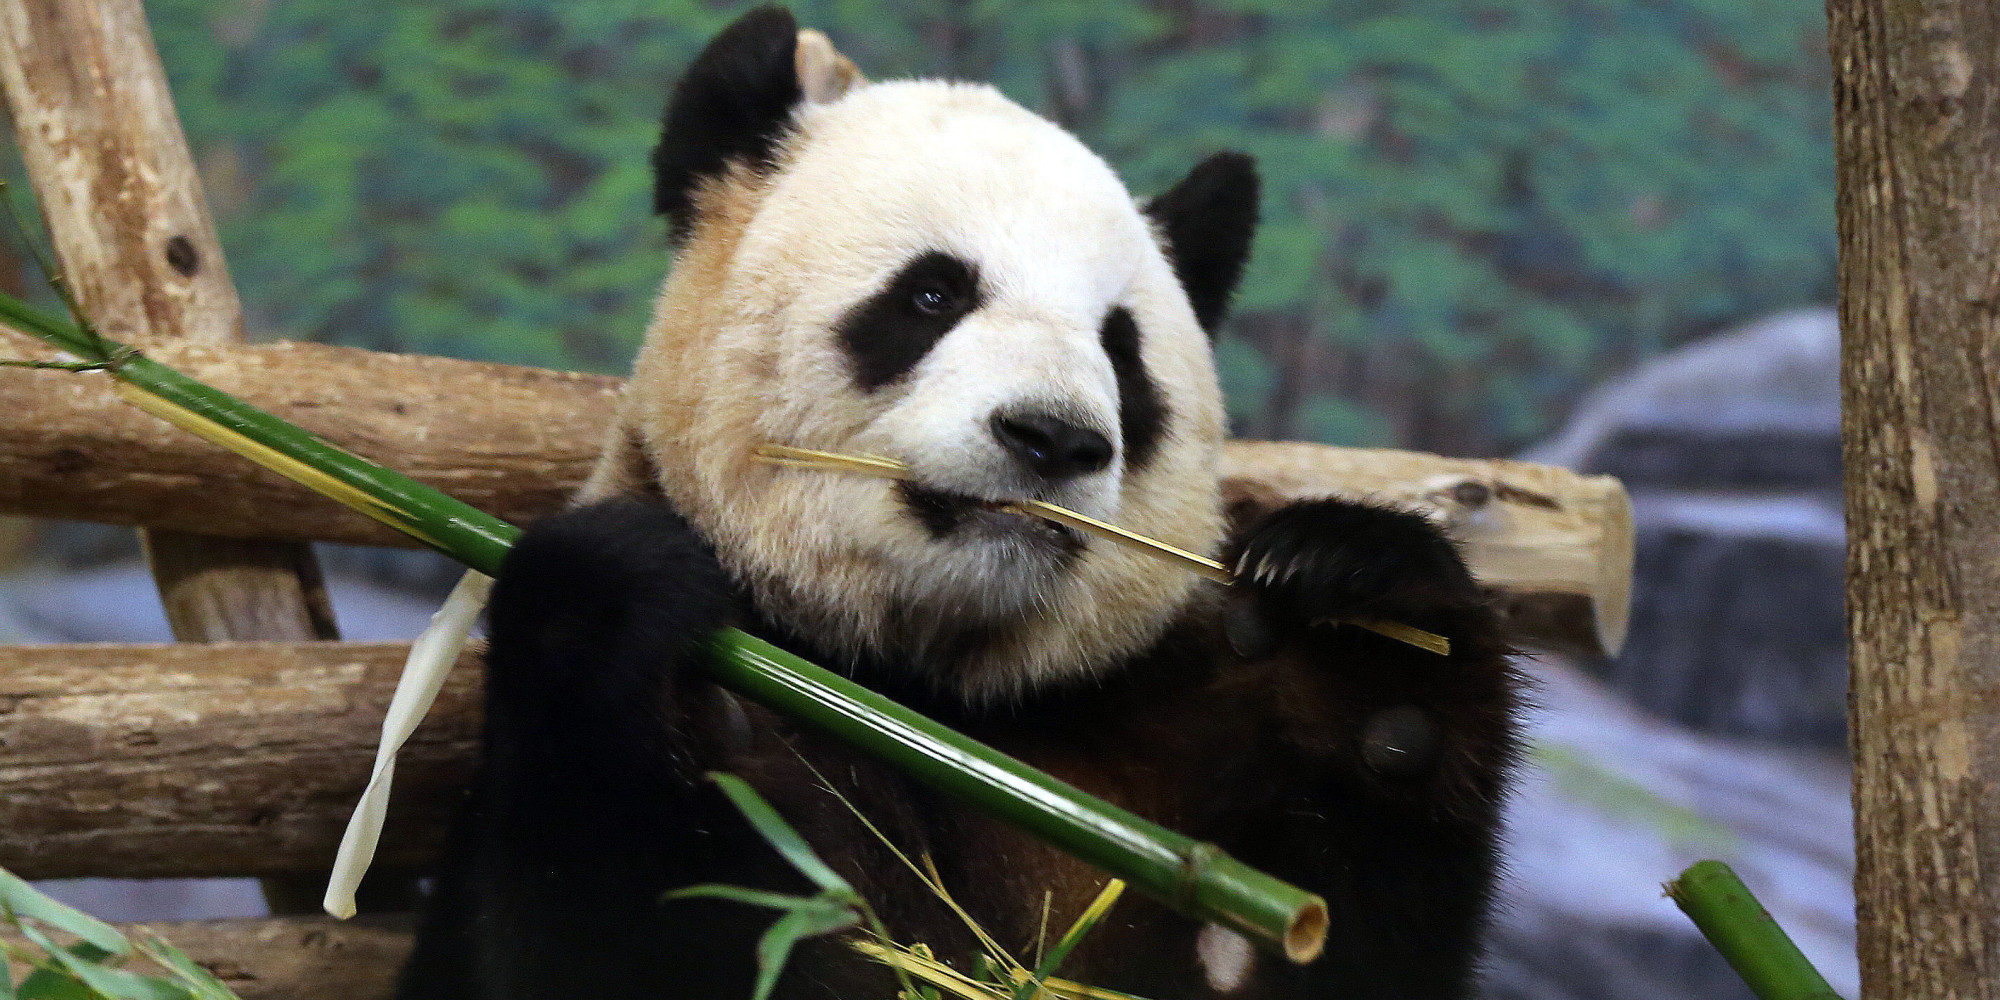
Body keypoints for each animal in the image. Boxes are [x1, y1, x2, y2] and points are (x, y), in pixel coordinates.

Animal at [398, 9, 1520, 1000]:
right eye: (933, 294)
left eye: (1121, 351)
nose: (1053, 437)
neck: (928, 687)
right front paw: (615, 593)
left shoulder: (1150, 753)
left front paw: (1365, 639)